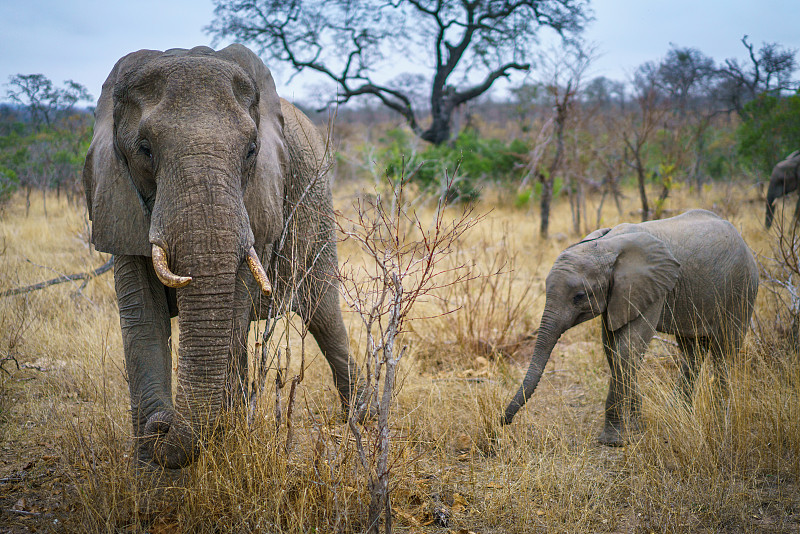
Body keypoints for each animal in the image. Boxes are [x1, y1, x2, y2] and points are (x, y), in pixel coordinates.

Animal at [83, 46, 366, 472]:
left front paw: (215, 449)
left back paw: (360, 422)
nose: (162, 424)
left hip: (319, 206)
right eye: (144, 149)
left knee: (323, 314)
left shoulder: (259, 201)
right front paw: (149, 469)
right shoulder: (118, 200)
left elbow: (233, 306)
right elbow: (142, 317)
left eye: (251, 150)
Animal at [504, 211, 760, 446]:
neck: (606, 246)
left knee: (725, 350)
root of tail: (744, 242)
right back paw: (678, 413)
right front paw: (638, 428)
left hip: (742, 287)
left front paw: (612, 441)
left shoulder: (652, 288)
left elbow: (627, 349)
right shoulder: (618, 294)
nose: (503, 421)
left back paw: (721, 417)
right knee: (692, 351)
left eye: (579, 296)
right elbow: (612, 349)